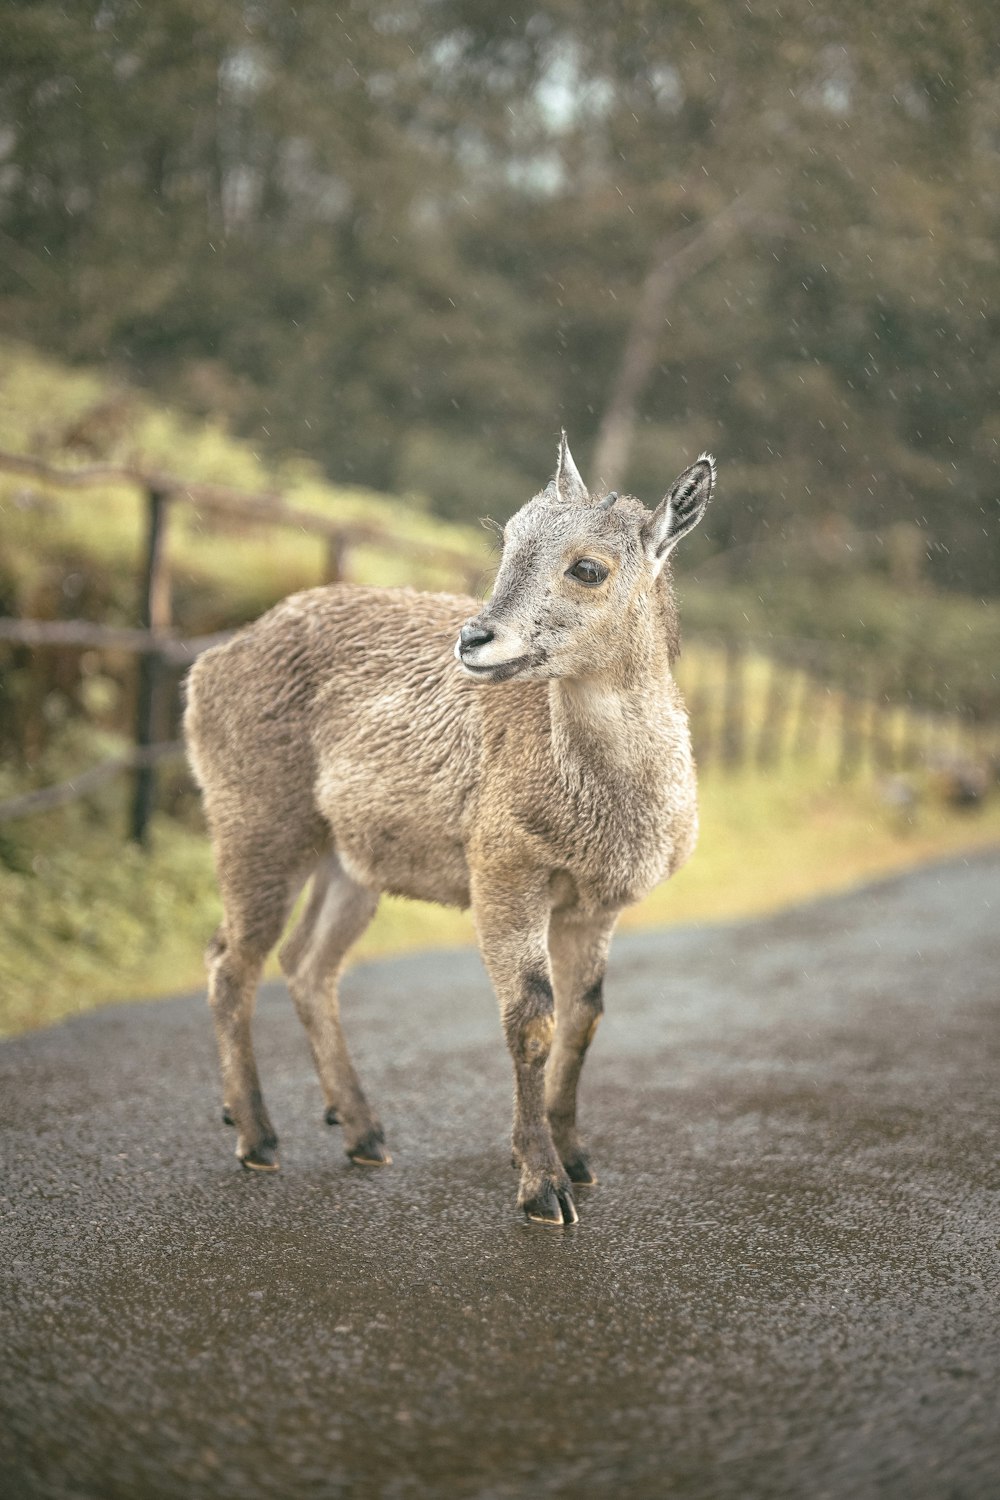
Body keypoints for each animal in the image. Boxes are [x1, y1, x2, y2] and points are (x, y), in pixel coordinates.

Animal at [185, 432, 710, 1218]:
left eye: (588, 567)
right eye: (510, 540)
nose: (475, 638)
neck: (599, 802)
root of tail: (206, 668)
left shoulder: (596, 902)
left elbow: (584, 1017)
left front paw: (576, 1156)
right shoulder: (503, 868)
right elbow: (531, 1015)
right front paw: (542, 1185)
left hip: (350, 861)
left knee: (308, 964)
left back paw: (363, 1132)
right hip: (256, 820)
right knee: (231, 960)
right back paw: (256, 1136)